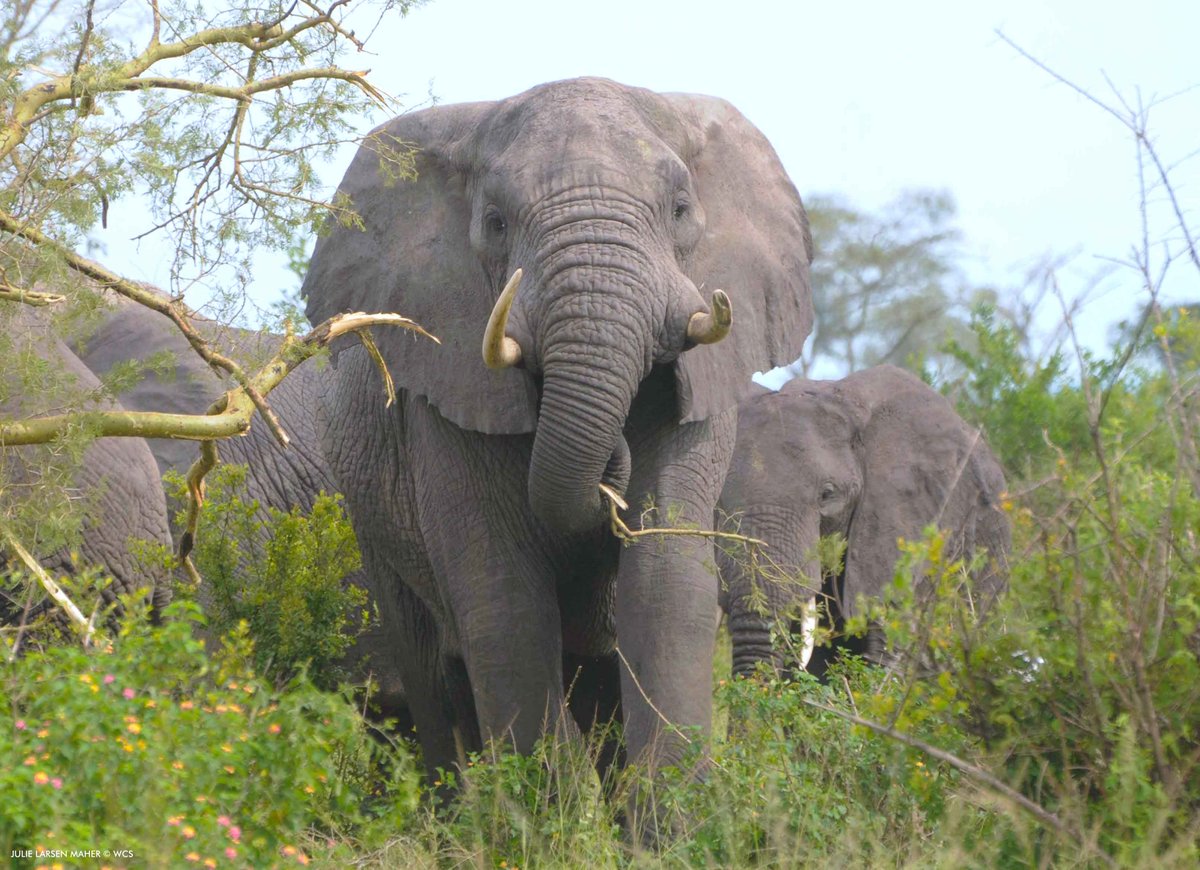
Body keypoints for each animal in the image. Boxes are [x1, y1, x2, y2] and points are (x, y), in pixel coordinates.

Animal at [301, 76, 813, 824]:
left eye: (681, 209)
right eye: (494, 222)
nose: (610, 470)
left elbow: (666, 581)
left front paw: (671, 824)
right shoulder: (449, 381)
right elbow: (502, 597)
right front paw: (549, 822)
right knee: (432, 675)